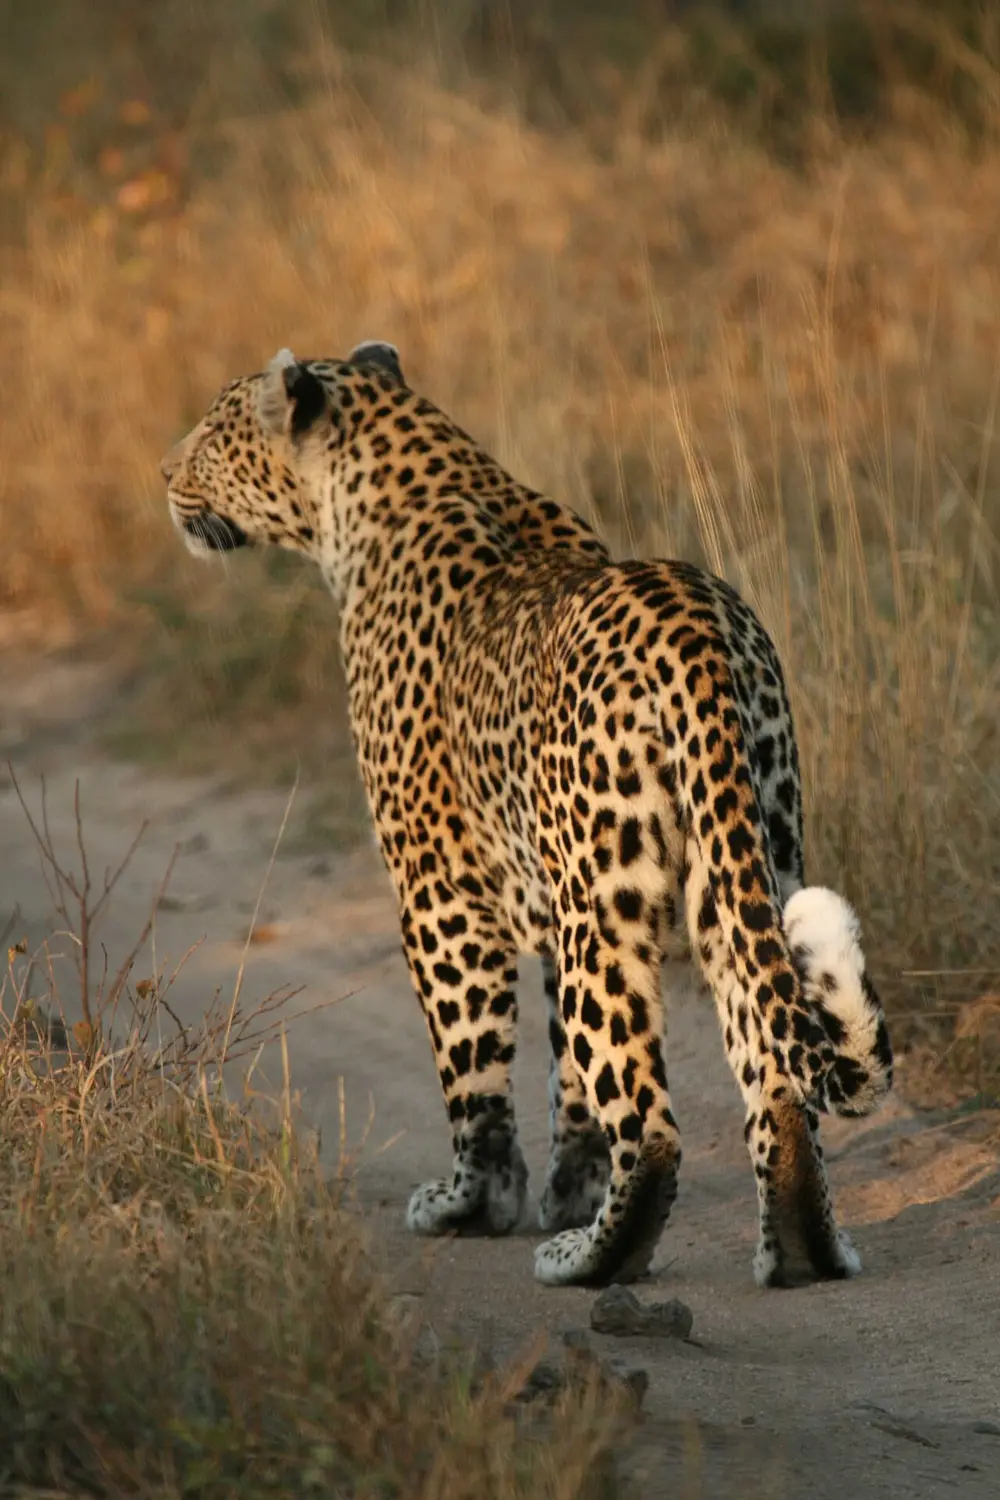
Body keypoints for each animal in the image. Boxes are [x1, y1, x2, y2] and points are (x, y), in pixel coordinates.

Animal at [161, 339, 893, 1289]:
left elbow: (470, 1058)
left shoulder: (438, 889)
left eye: (216, 431)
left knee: (653, 1124)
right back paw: (801, 1249)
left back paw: (589, 1259)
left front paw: (475, 1202)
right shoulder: (545, 882)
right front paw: (568, 1188)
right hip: (744, 857)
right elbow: (566, 1079)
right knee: (771, 1068)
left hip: (608, 907)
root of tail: (697, 624)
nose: (164, 470)